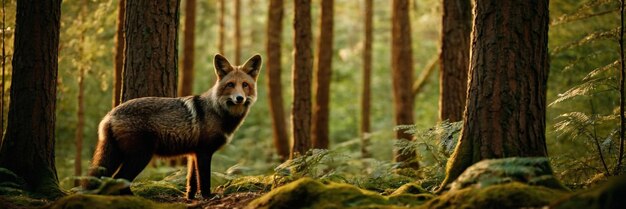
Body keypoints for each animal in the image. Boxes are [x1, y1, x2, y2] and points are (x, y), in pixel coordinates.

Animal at [84, 53, 260, 198]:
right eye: (230, 85)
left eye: (245, 85)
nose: (239, 98)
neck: (217, 110)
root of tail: (109, 115)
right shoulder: (204, 152)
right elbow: (204, 180)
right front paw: (208, 197)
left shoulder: (193, 154)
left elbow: (191, 182)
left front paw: (190, 198)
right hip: (141, 156)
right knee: (119, 179)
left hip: (120, 156)